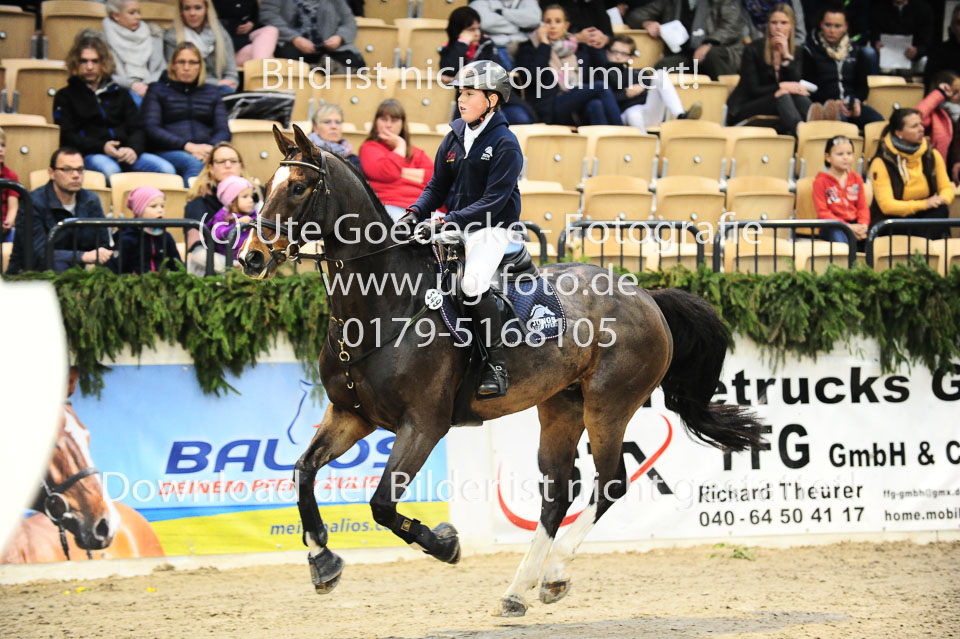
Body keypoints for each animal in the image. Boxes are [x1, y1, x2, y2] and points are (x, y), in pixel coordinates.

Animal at [236, 125, 765, 616]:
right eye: (266, 184)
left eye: (298, 187)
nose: (251, 257)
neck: (381, 307)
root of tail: (646, 295)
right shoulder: (351, 415)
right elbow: (303, 471)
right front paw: (322, 559)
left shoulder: (423, 425)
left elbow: (382, 505)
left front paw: (446, 543)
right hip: (561, 406)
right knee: (559, 491)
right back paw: (518, 589)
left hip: (609, 405)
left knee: (610, 480)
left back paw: (555, 573)